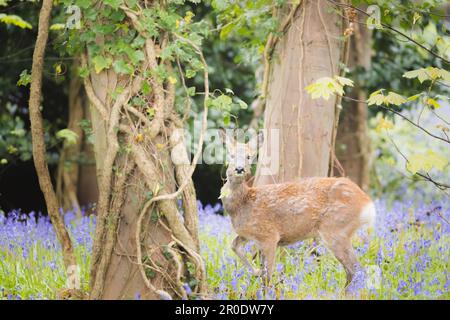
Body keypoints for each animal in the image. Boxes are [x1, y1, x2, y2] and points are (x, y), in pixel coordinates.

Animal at [219, 131, 376, 286]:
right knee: (353, 270)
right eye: (231, 155)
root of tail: (367, 203)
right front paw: (256, 271)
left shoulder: (269, 235)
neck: (242, 204)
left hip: (335, 228)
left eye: (249, 156)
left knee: (356, 269)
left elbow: (267, 276)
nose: (239, 169)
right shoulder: (247, 234)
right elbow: (234, 246)